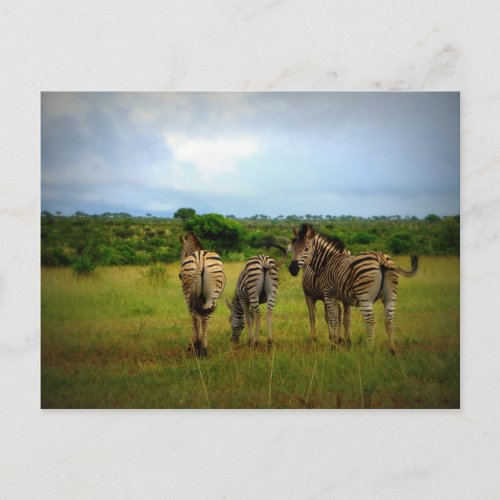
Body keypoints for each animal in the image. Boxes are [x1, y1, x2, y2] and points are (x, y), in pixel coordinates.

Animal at [290, 225, 418, 354]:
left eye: (306, 249)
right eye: (293, 248)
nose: (292, 269)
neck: (326, 262)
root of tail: (380, 258)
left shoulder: (328, 294)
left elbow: (332, 318)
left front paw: (333, 344)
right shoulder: (343, 298)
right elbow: (344, 319)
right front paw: (344, 342)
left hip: (364, 296)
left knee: (370, 320)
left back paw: (370, 350)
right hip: (390, 295)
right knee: (389, 320)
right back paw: (392, 350)